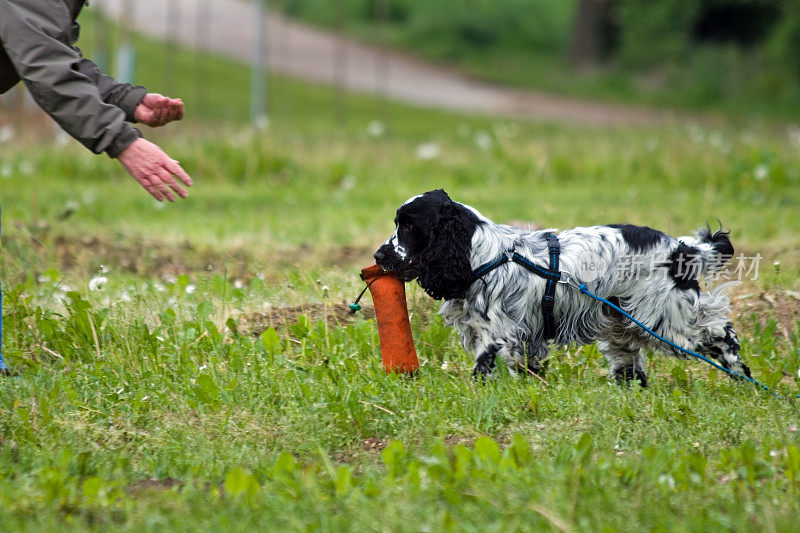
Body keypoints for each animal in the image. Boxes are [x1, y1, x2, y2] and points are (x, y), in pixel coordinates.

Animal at [374, 189, 752, 384]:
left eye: (409, 227)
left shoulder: (497, 333)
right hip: (621, 320)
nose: (378, 255)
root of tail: (679, 247)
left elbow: (484, 366)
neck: (480, 254)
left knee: (720, 332)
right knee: (630, 363)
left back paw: (741, 375)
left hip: (668, 318)